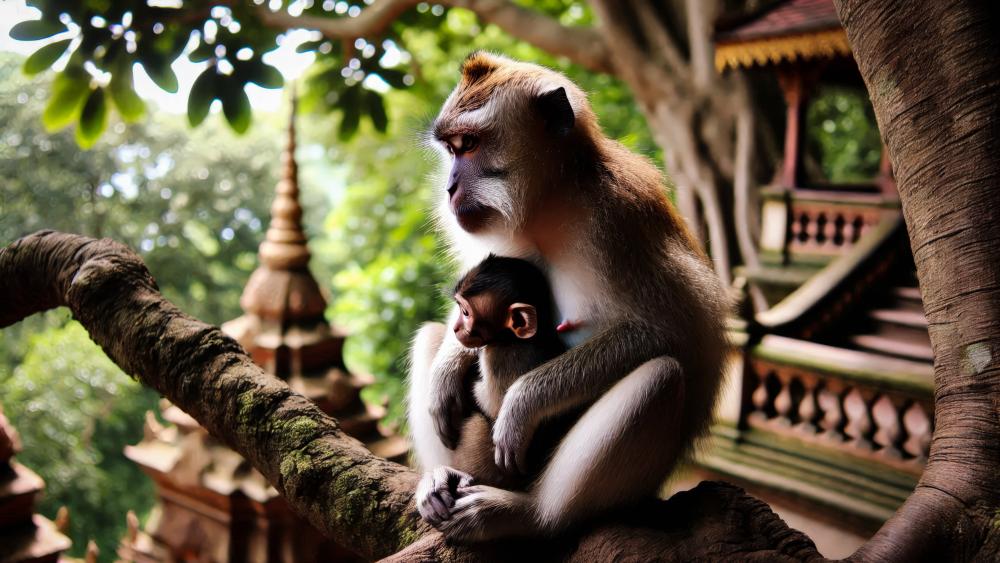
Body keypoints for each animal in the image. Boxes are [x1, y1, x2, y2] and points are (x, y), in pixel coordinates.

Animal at [406, 53, 728, 540]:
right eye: (451, 150)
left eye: (469, 146)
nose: (449, 188)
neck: (546, 203)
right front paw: (447, 371)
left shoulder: (617, 219)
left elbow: (667, 333)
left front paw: (522, 404)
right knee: (428, 334)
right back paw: (440, 478)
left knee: (660, 378)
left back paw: (528, 515)